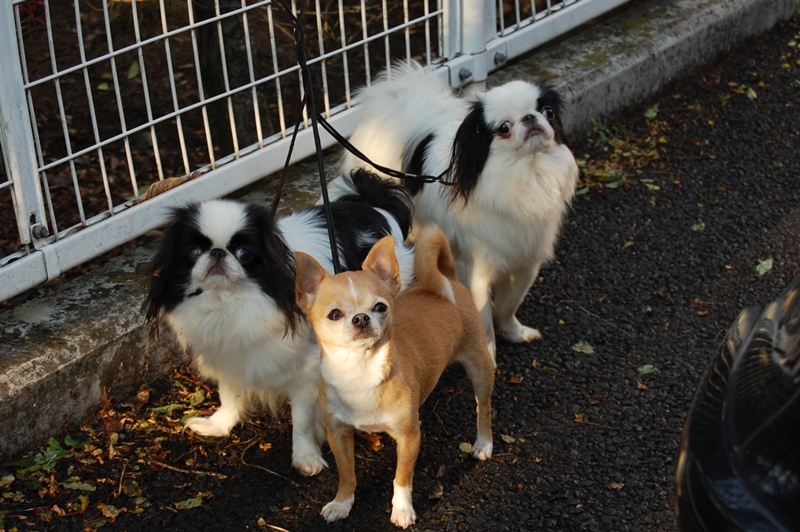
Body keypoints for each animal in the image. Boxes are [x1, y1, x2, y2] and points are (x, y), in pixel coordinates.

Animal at [145, 169, 416, 474]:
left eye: (244, 254)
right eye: (193, 252)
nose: (217, 253)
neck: (229, 302)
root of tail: (371, 206)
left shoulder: (308, 369)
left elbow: (302, 419)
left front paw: (305, 457)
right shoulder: (229, 356)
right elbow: (228, 394)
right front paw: (219, 425)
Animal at [334, 62, 580, 362]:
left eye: (548, 112)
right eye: (504, 128)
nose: (530, 118)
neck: (526, 173)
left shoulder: (526, 260)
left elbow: (507, 305)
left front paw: (515, 333)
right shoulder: (477, 269)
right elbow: (484, 317)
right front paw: (489, 354)